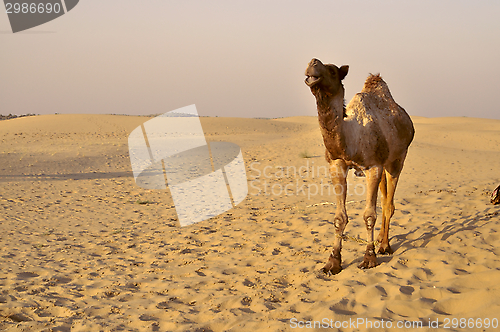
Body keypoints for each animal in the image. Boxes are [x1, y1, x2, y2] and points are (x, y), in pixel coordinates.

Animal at [304, 58, 414, 274]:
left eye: (332, 71)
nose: (313, 62)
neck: (351, 137)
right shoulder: (336, 164)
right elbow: (340, 217)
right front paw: (332, 262)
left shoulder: (373, 167)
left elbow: (369, 215)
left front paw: (369, 258)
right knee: (385, 198)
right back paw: (380, 238)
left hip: (397, 160)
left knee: (389, 204)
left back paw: (384, 246)